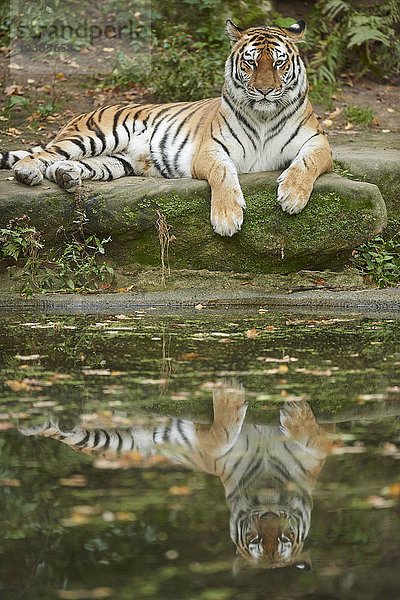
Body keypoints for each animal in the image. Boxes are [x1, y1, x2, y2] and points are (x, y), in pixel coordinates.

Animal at [0, 17, 332, 237]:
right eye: (250, 63)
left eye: (278, 63)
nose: (264, 91)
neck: (264, 116)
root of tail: (82, 114)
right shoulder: (211, 151)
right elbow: (224, 173)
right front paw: (227, 218)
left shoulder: (319, 144)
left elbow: (306, 163)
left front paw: (292, 196)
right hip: (97, 135)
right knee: (46, 154)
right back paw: (28, 172)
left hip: (115, 161)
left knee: (64, 165)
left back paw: (67, 177)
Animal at [21, 384, 334, 568]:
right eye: (254, 540)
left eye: (284, 537)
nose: (269, 516)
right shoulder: (211, 450)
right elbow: (220, 435)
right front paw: (230, 394)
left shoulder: (324, 447)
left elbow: (314, 435)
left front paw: (296, 411)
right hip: (113, 442)